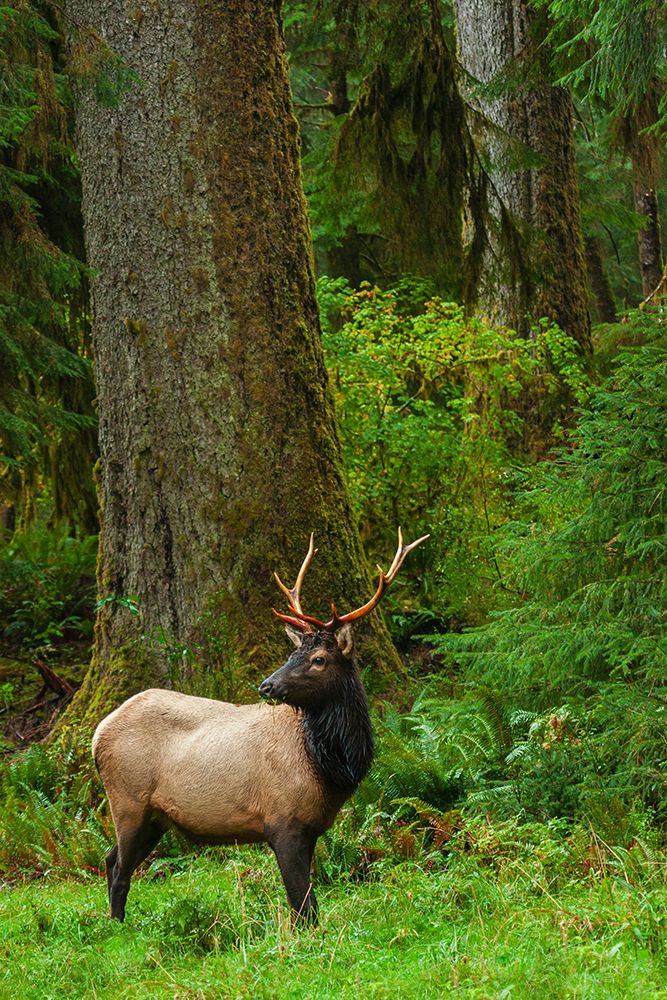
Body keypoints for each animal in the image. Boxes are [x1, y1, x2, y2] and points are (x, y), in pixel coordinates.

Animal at [92, 528, 428, 923]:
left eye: (318, 658)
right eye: (292, 653)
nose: (266, 685)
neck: (329, 768)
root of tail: (97, 734)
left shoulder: (312, 827)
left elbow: (304, 903)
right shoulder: (282, 820)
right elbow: (304, 904)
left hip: (155, 817)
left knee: (111, 858)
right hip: (128, 800)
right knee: (119, 868)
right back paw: (118, 926)